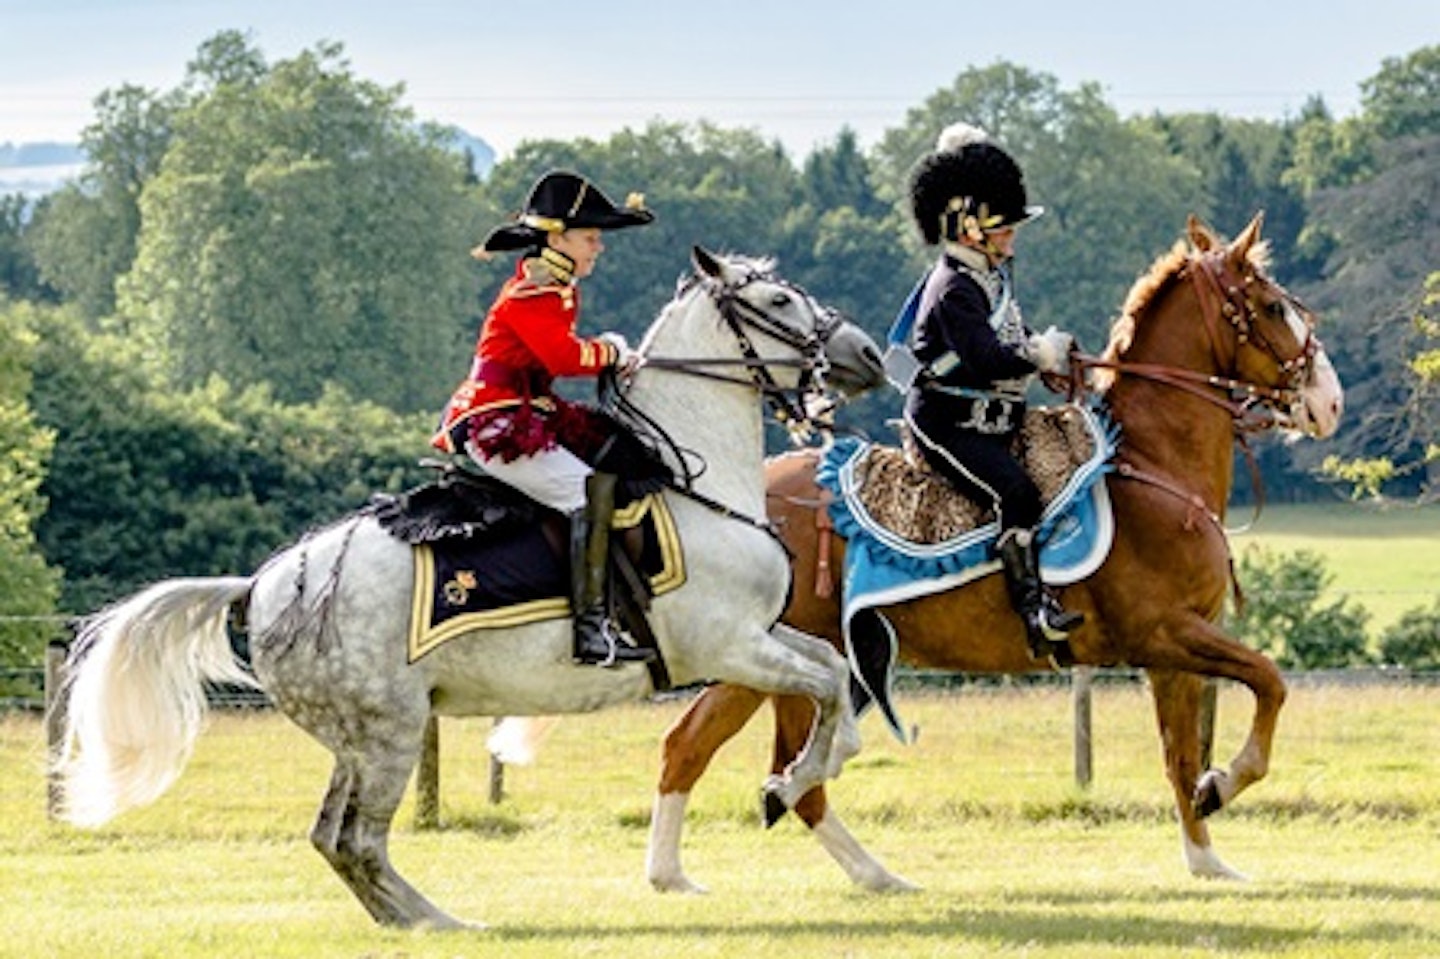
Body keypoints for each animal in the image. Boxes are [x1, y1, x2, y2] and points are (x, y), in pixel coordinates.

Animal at [53, 246, 887, 927]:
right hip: (388, 731)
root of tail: (258, 585)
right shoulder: (728, 645)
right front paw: (792, 780)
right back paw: (442, 923)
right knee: (357, 838)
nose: (869, 353)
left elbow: (833, 671)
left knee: (334, 837)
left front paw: (810, 769)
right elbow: (825, 684)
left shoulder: (762, 634)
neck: (692, 482)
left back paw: (418, 919)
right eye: (778, 301)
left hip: (359, 737)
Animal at [648, 213, 1342, 892]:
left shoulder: (1172, 652)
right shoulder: (1165, 633)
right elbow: (1269, 681)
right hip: (747, 650)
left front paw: (1207, 858)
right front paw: (1225, 784)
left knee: (786, 771)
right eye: (1272, 307)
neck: (1151, 465)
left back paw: (868, 868)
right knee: (694, 746)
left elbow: (1180, 755)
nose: (1329, 401)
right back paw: (675, 874)